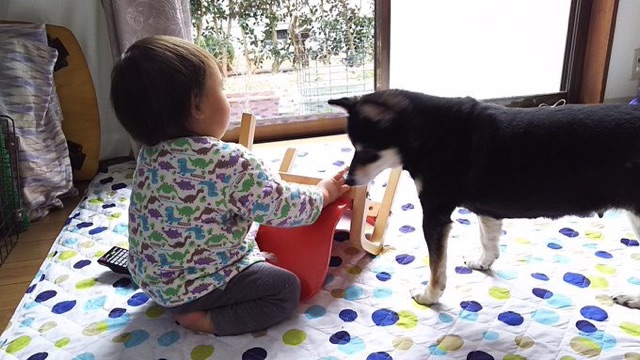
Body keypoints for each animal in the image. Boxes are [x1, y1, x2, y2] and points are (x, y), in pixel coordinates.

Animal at [330, 90, 640, 310]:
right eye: (353, 147)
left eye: (367, 152)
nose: (348, 180)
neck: (430, 131)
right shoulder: (488, 208)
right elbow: (488, 239)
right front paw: (483, 262)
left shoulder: (435, 215)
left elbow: (436, 267)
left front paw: (429, 296)